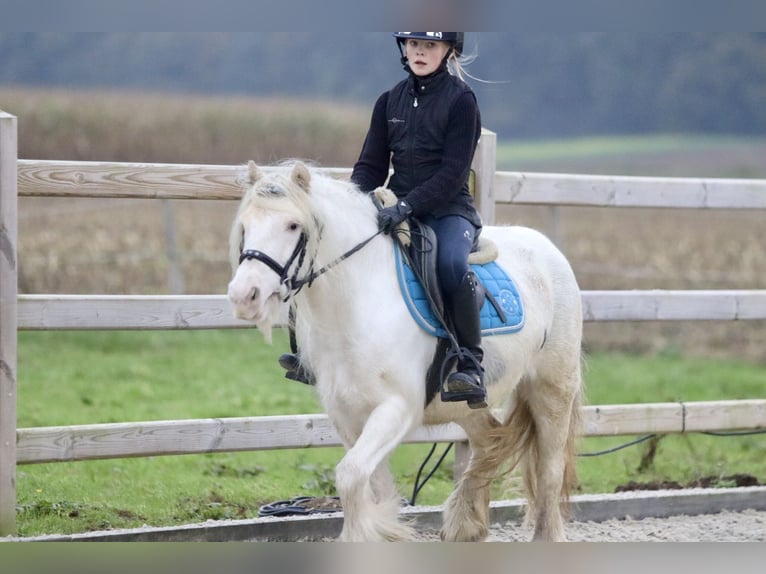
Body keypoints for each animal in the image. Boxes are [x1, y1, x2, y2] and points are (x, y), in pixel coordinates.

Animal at [225, 162, 584, 544]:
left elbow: (350, 475)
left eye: (293, 225)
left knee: (549, 468)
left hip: (552, 389)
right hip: (467, 403)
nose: (244, 296)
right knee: (490, 441)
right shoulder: (347, 414)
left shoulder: (396, 408)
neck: (358, 301)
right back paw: (464, 524)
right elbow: (369, 483)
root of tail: (547, 249)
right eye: (246, 225)